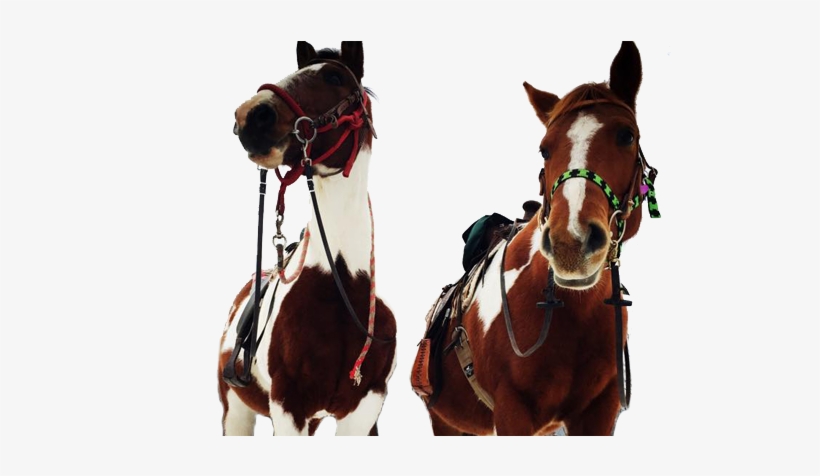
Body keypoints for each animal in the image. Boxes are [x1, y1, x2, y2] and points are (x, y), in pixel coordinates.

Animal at [218, 41, 397, 436]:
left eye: (333, 77)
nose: (251, 115)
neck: (340, 287)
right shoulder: (289, 408)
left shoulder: (364, 410)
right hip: (235, 412)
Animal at [410, 41, 661, 436]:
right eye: (544, 148)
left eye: (626, 135)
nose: (571, 241)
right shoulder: (512, 413)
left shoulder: (599, 414)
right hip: (448, 424)